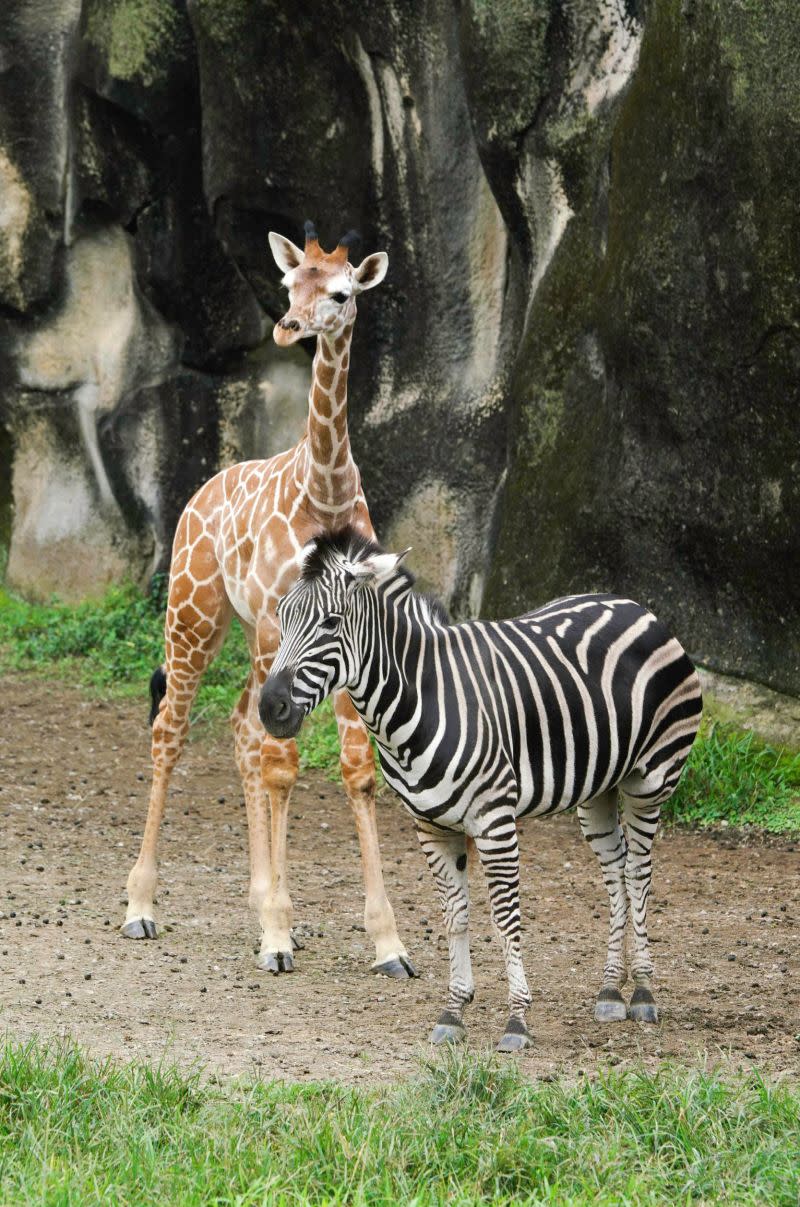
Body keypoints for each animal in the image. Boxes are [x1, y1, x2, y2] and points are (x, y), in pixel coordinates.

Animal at [123, 224, 419, 980]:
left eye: (339, 292)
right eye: (289, 284)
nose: (287, 326)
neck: (326, 498)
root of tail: (198, 496)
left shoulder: (347, 641)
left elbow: (356, 771)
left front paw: (388, 944)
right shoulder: (276, 626)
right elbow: (284, 765)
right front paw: (277, 935)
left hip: (243, 635)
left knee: (241, 729)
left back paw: (260, 900)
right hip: (194, 615)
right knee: (173, 731)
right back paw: (141, 905)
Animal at [259, 526, 704, 1047]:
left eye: (331, 623)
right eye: (281, 617)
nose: (270, 708)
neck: (421, 698)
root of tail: (635, 605)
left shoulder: (494, 821)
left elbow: (506, 916)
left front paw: (517, 1020)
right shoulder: (431, 826)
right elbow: (455, 915)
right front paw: (453, 1011)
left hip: (649, 780)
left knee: (638, 874)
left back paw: (644, 993)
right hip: (597, 791)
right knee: (615, 871)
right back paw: (612, 990)